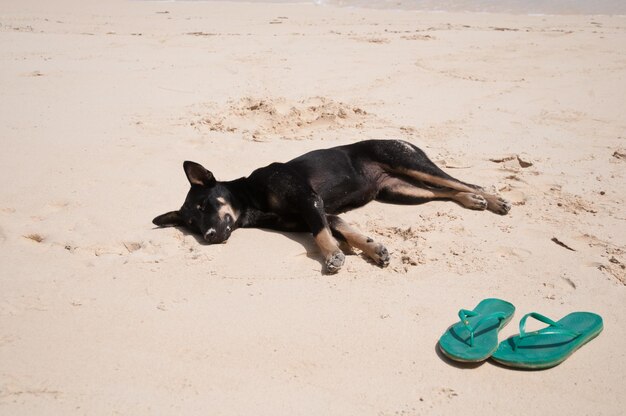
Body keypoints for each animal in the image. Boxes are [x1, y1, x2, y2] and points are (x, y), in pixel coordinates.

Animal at [154, 140, 510, 272]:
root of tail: (399, 138)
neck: (250, 199)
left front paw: (333, 257)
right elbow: (344, 229)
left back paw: (492, 199)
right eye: (192, 225)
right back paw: (471, 201)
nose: (210, 236)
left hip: (409, 163)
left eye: (206, 205)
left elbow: (321, 235)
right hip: (401, 190)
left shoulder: (310, 202)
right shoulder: (323, 211)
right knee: (444, 192)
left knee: (461, 182)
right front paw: (373, 249)